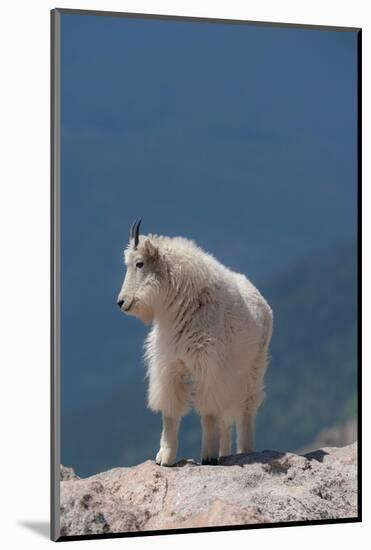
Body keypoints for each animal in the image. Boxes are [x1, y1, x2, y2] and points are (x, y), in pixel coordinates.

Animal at [117, 219, 274, 466]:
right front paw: (164, 458)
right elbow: (170, 413)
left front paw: (208, 456)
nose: (121, 302)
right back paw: (225, 453)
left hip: (252, 368)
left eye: (139, 263)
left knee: (245, 409)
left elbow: (208, 413)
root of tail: (263, 302)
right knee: (226, 417)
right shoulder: (170, 367)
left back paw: (244, 450)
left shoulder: (208, 368)